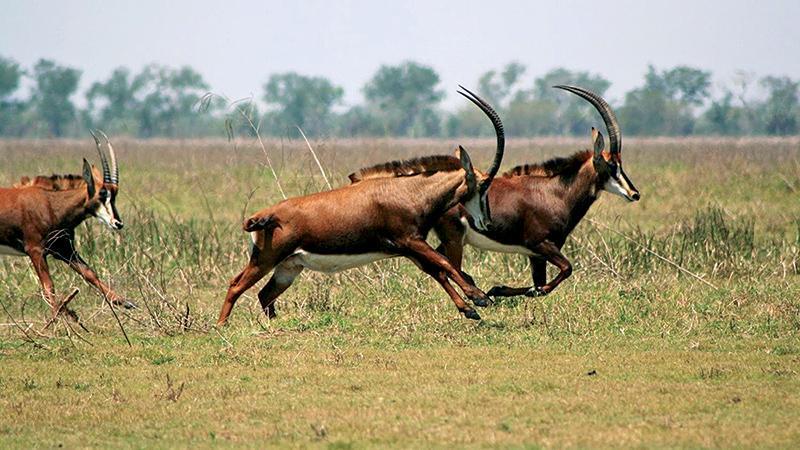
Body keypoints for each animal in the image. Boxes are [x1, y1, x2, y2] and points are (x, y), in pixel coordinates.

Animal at [0, 132, 134, 318]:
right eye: (101, 194)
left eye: (114, 194)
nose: (117, 223)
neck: (51, 204)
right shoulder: (35, 250)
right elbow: (49, 286)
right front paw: (60, 317)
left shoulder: (64, 249)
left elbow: (90, 273)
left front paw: (124, 301)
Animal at [217, 86, 506, 326]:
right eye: (483, 185)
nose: (487, 222)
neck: (410, 193)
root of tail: (265, 214)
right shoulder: (411, 241)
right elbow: (445, 264)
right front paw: (480, 298)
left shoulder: (408, 249)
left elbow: (438, 271)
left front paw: (469, 309)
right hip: (266, 259)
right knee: (236, 285)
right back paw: (221, 325)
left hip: (288, 267)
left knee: (265, 295)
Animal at [434, 85, 640, 298]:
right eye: (612, 165)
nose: (634, 194)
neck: (556, 194)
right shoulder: (539, 245)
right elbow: (566, 269)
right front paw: (514, 290)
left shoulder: (537, 255)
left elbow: (541, 282)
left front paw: (503, 289)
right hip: (454, 239)